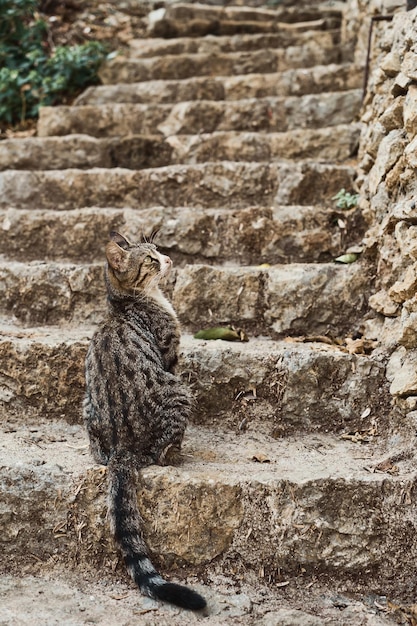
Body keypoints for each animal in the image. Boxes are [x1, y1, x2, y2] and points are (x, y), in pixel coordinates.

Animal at [82, 229, 206, 608]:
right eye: (151, 259)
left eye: (158, 248)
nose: (168, 258)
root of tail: (123, 443)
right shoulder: (169, 353)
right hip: (178, 392)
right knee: (162, 453)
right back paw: (177, 453)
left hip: (86, 403)